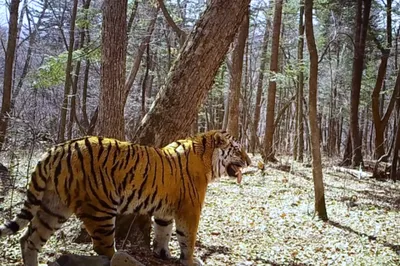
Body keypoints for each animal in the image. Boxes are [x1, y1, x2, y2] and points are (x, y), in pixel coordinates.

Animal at [0, 130, 250, 264]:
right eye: (237, 149)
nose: (249, 161)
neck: (208, 161)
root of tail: (56, 151)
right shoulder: (190, 209)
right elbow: (187, 239)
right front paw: (189, 260)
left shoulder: (165, 211)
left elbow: (163, 232)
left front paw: (163, 254)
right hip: (100, 210)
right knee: (103, 249)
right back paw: (122, 258)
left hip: (53, 207)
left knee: (28, 240)